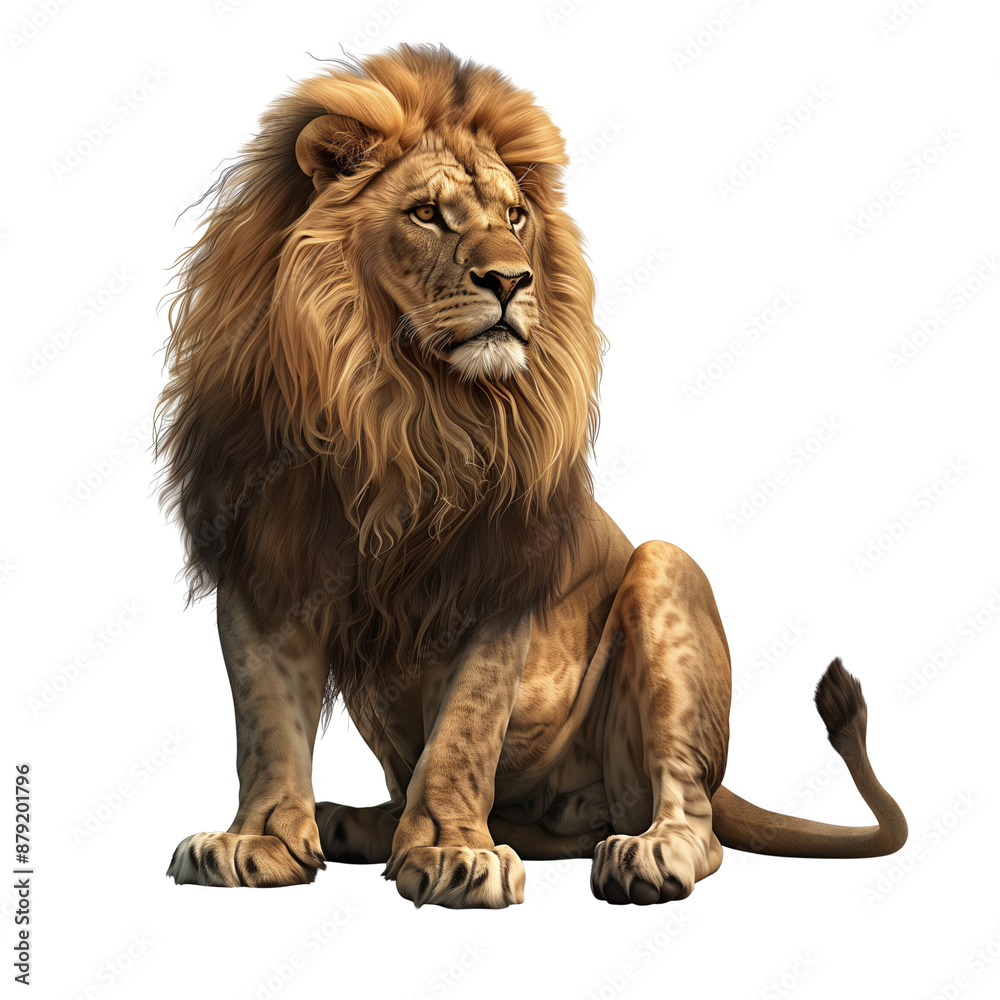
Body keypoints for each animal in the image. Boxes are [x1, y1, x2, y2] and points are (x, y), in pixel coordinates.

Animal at [157, 44, 907, 907]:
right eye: (427, 214)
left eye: (515, 217)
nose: (512, 280)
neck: (397, 404)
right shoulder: (262, 561)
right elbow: (267, 723)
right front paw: (260, 842)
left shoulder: (497, 574)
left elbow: (465, 732)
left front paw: (454, 852)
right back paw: (354, 821)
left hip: (665, 574)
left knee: (690, 813)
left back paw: (648, 853)